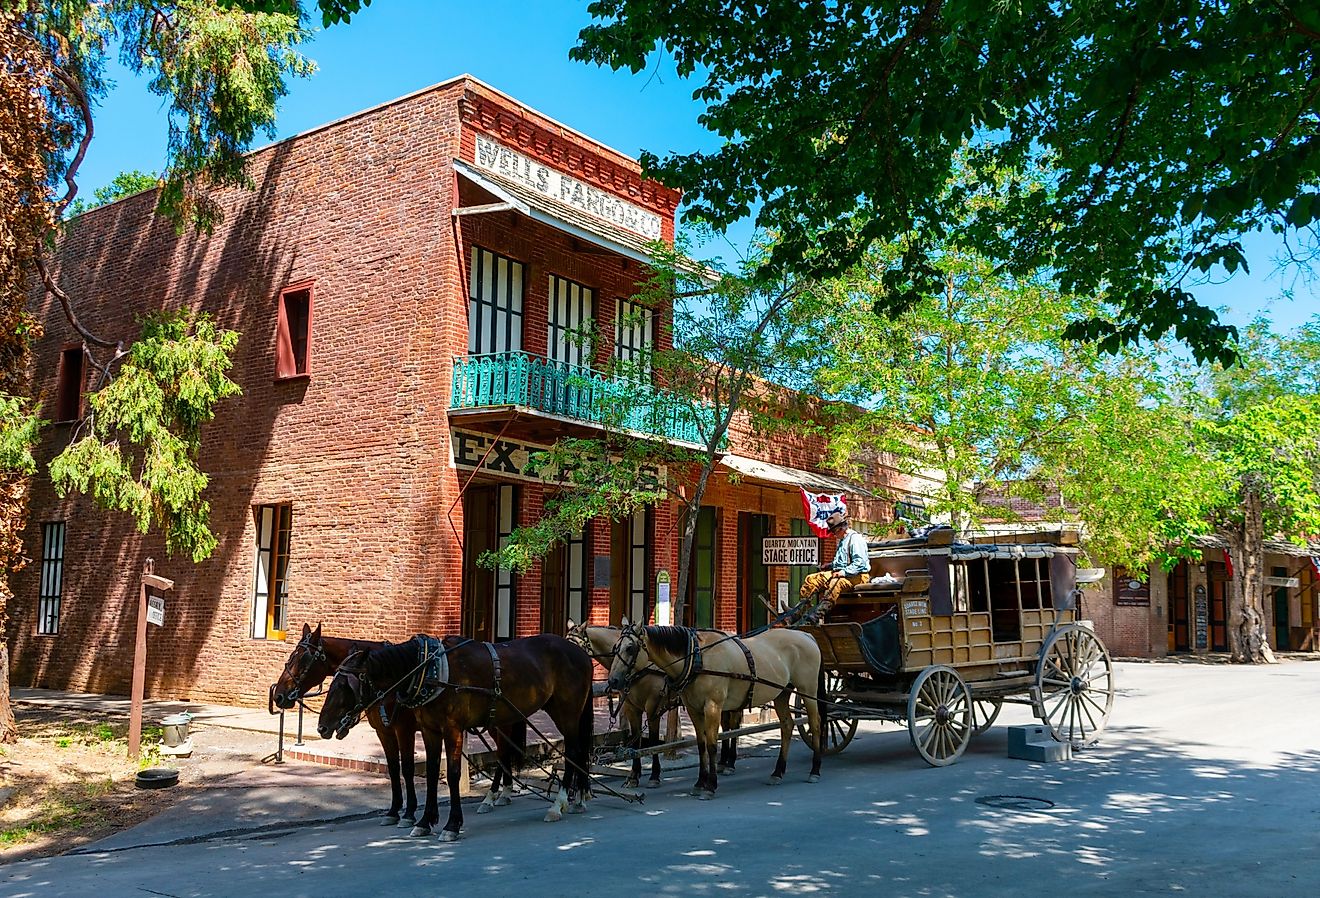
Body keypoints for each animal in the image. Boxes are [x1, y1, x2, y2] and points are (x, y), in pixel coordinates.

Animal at [265, 623, 414, 829]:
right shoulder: (384, 731)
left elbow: (407, 768)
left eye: (302, 659)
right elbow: (393, 768)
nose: (278, 696)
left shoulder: (404, 729)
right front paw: (394, 811)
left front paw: (410, 813)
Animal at [319, 633, 594, 839]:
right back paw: (577, 798)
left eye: (344, 686)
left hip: (567, 712)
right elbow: (431, 772)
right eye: (331, 682)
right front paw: (424, 821)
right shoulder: (429, 730)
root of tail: (581, 652)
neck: (429, 672)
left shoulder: (450, 728)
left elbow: (451, 774)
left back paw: (558, 804)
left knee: (573, 751)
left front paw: (451, 824)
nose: (322, 726)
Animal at [609, 618, 823, 797]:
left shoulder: (712, 707)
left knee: (816, 724)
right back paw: (778, 772)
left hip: (808, 691)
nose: (613, 680)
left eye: (630, 648)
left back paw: (815, 770)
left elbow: (712, 744)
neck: (697, 658)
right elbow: (701, 744)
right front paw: (700, 782)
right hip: (781, 694)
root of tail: (807, 636)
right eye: (615, 648)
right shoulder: (694, 709)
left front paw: (711, 785)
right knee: (787, 726)